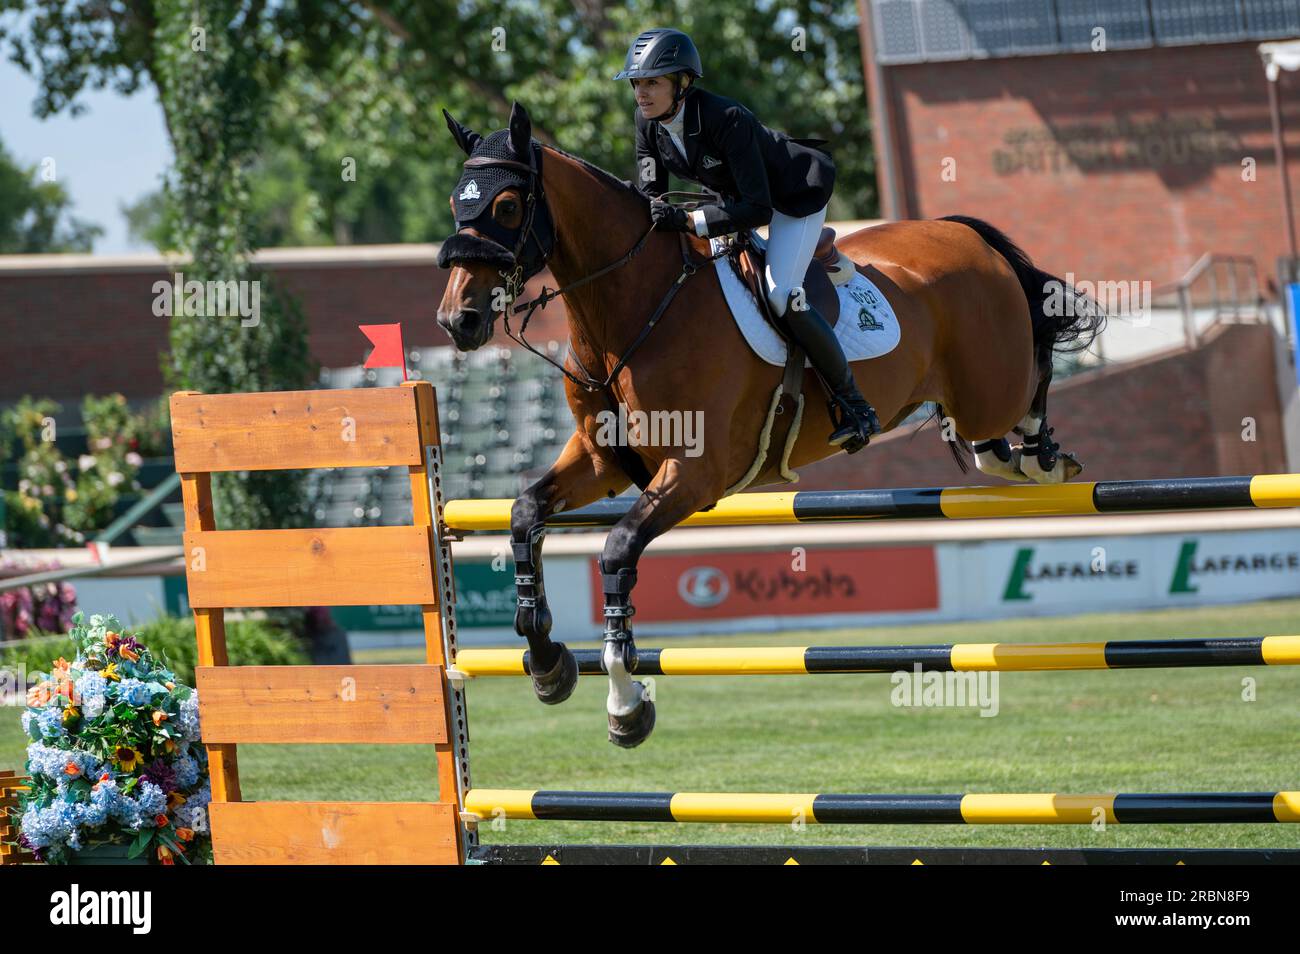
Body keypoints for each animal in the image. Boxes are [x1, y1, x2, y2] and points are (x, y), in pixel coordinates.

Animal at [439, 102, 1107, 748]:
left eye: (506, 205)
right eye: (455, 203)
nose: (456, 321)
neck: (633, 309)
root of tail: (963, 233)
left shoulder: (696, 474)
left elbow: (618, 552)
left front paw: (625, 704)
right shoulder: (602, 462)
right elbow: (525, 515)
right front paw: (547, 662)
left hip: (990, 385)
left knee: (1035, 368)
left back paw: (1044, 455)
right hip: (969, 398)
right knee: (988, 441)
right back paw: (1017, 460)